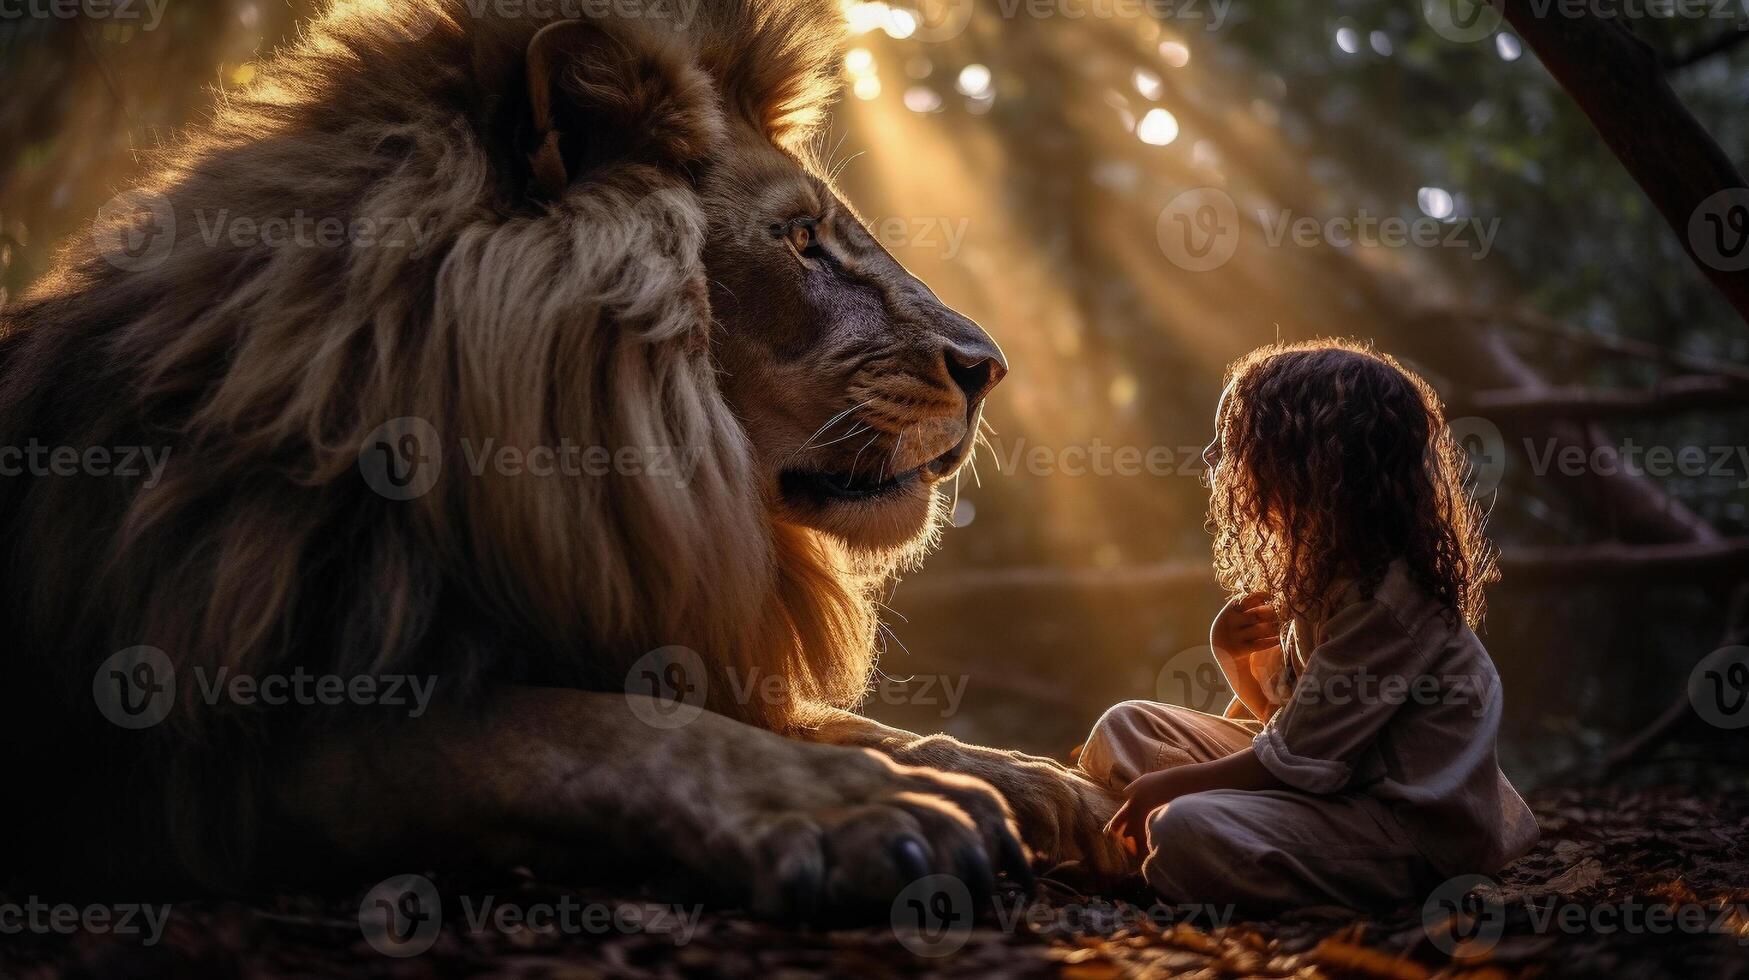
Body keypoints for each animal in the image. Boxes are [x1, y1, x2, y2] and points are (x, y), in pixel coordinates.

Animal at [0, 0, 1126, 917]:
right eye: (801, 239)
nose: (989, 367)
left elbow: (818, 717)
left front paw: (1029, 776)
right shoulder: (205, 763)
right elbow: (585, 729)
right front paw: (864, 807)